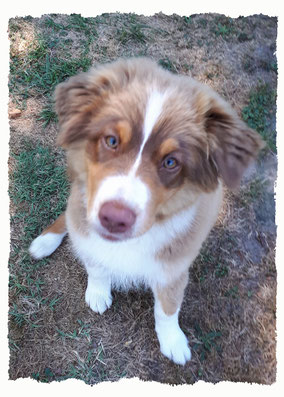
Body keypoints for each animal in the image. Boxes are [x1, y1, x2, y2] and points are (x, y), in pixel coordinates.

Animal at [29, 57, 264, 364]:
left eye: (171, 162)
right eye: (111, 140)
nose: (114, 219)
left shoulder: (174, 268)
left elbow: (167, 308)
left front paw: (173, 341)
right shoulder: (87, 224)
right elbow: (96, 264)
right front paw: (98, 292)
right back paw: (45, 242)